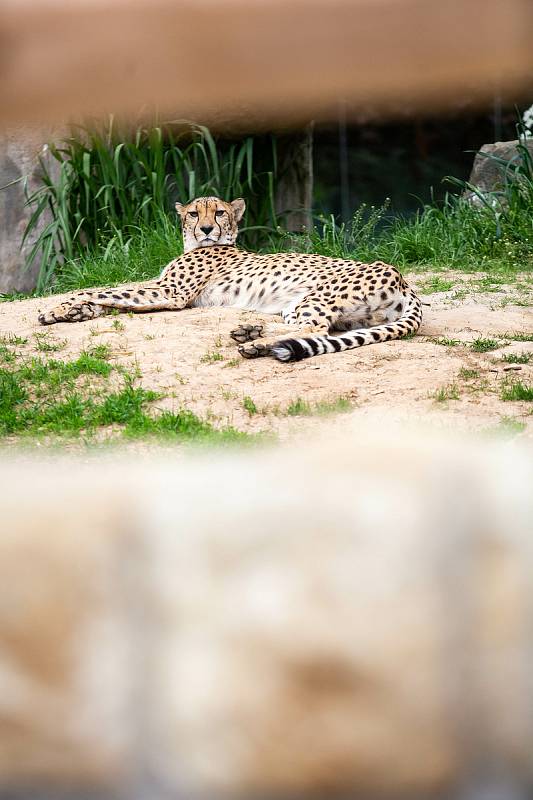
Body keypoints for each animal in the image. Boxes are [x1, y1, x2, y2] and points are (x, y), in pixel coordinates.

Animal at [37, 195, 422, 360]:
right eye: (194, 213)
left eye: (219, 212)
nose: (207, 228)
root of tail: (404, 280)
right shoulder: (162, 289)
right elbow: (110, 296)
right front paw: (75, 312)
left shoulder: (170, 292)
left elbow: (107, 291)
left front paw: (59, 308)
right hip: (306, 307)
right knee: (318, 328)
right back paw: (250, 331)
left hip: (316, 297)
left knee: (315, 330)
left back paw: (255, 344)